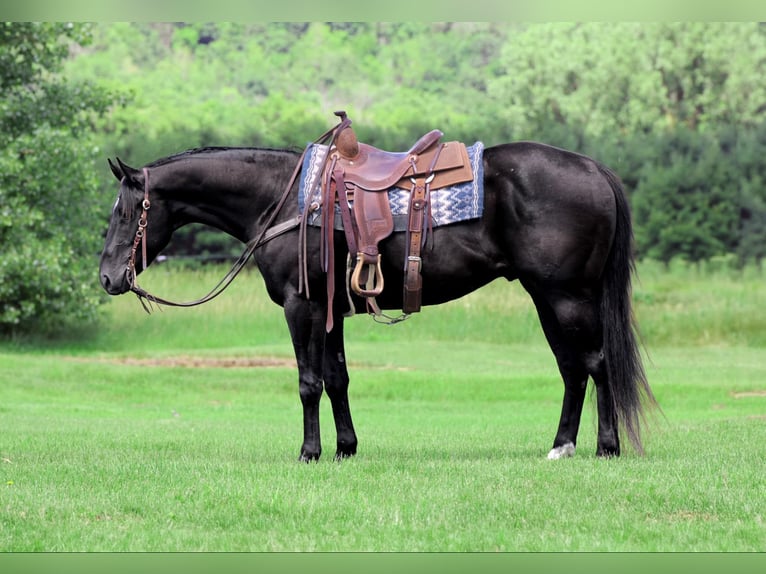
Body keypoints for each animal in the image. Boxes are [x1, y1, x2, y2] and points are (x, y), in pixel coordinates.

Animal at [99, 137, 656, 462]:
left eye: (125, 212)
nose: (107, 277)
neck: (284, 199)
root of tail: (594, 169)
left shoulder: (301, 306)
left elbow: (308, 382)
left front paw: (309, 453)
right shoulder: (330, 311)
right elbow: (337, 379)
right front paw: (345, 449)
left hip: (567, 297)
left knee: (596, 363)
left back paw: (606, 448)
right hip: (546, 298)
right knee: (572, 369)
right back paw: (561, 446)